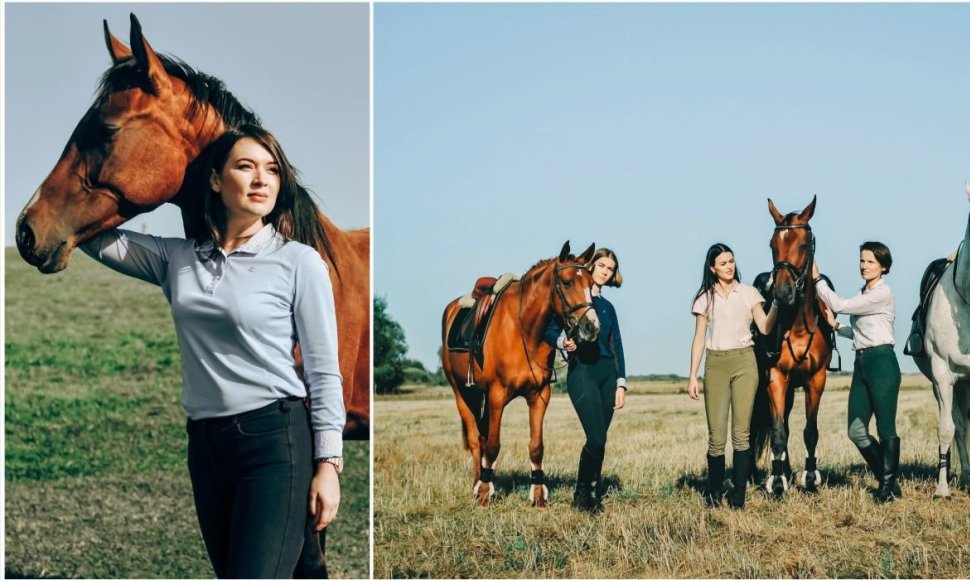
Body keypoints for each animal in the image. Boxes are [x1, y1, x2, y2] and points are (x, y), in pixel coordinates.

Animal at [442, 242, 600, 506]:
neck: (523, 329)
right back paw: (476, 483)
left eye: (591, 282)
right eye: (567, 282)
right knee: (475, 439)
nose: (592, 328)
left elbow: (536, 446)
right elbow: (493, 445)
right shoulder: (496, 396)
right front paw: (484, 493)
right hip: (462, 392)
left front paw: (538, 496)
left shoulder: (539, 396)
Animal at [748, 197, 832, 496]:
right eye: (772, 245)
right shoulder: (775, 379)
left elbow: (810, 431)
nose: (783, 294)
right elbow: (777, 433)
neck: (797, 327)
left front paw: (810, 477)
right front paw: (776, 482)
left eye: (805, 244)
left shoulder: (816, 379)